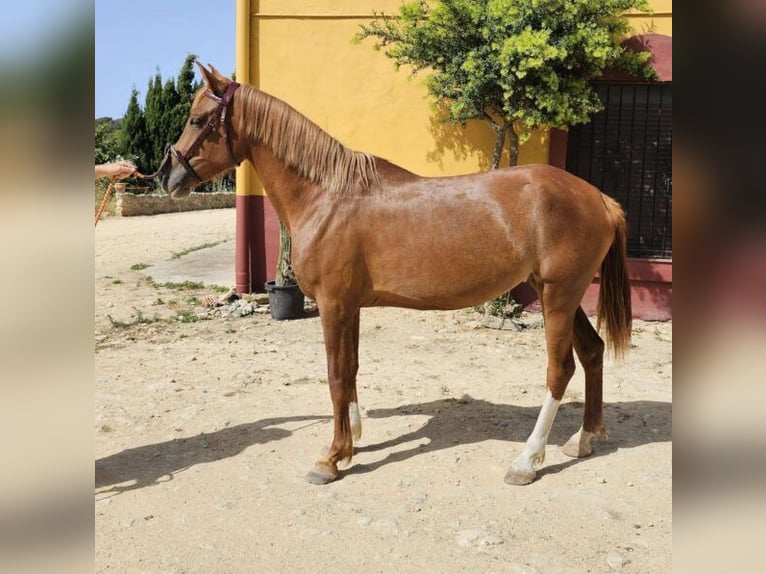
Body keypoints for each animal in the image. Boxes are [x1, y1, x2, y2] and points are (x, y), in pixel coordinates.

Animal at [159, 63, 632, 486]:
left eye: (198, 119)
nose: (168, 176)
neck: (327, 196)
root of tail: (598, 198)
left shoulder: (333, 304)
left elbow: (335, 375)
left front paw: (330, 459)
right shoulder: (349, 306)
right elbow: (350, 370)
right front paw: (351, 442)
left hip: (558, 296)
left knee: (560, 370)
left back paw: (526, 461)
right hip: (562, 296)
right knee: (592, 352)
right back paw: (583, 439)